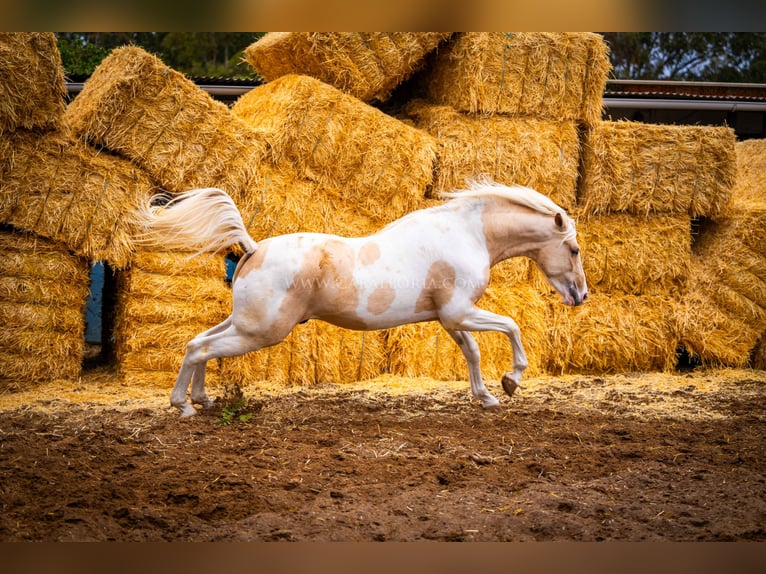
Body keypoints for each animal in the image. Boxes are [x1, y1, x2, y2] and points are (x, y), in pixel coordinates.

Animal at [138, 182, 592, 420]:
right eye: (573, 249)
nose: (581, 296)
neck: (469, 233)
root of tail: (251, 247)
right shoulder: (461, 312)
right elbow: (511, 327)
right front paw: (512, 380)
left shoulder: (450, 319)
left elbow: (473, 354)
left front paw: (486, 396)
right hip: (261, 331)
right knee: (201, 348)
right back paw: (184, 406)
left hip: (244, 324)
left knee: (199, 344)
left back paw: (202, 399)